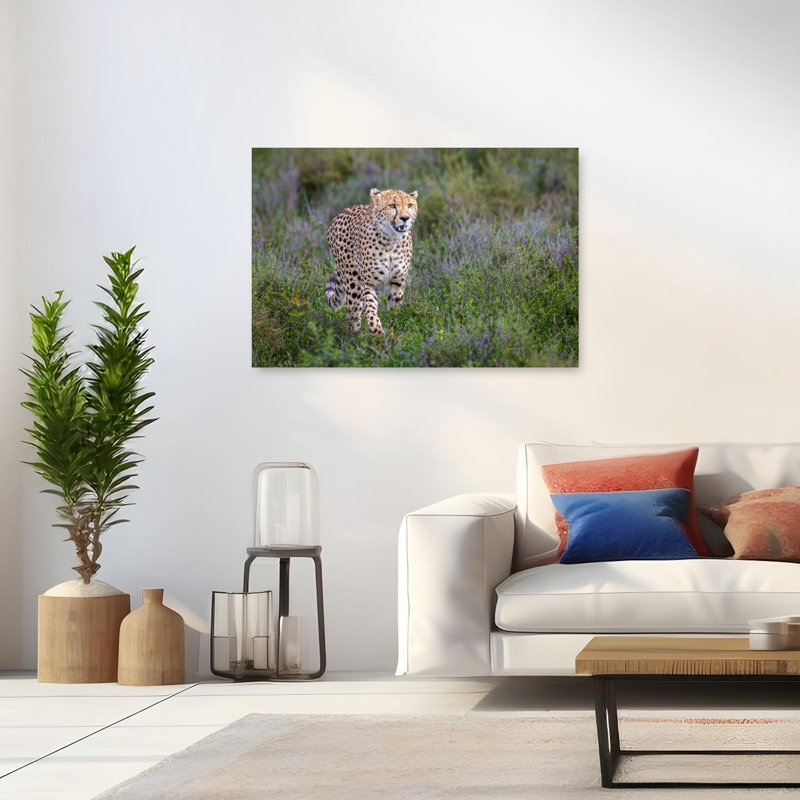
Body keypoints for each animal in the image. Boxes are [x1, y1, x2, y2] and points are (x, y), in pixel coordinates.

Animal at [325, 187, 418, 335]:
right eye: (392, 205)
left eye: (410, 205)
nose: (405, 218)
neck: (391, 241)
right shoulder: (369, 282)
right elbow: (371, 308)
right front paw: (377, 332)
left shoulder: (398, 281)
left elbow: (394, 308)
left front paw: (394, 331)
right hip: (353, 280)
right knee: (353, 312)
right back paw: (355, 336)